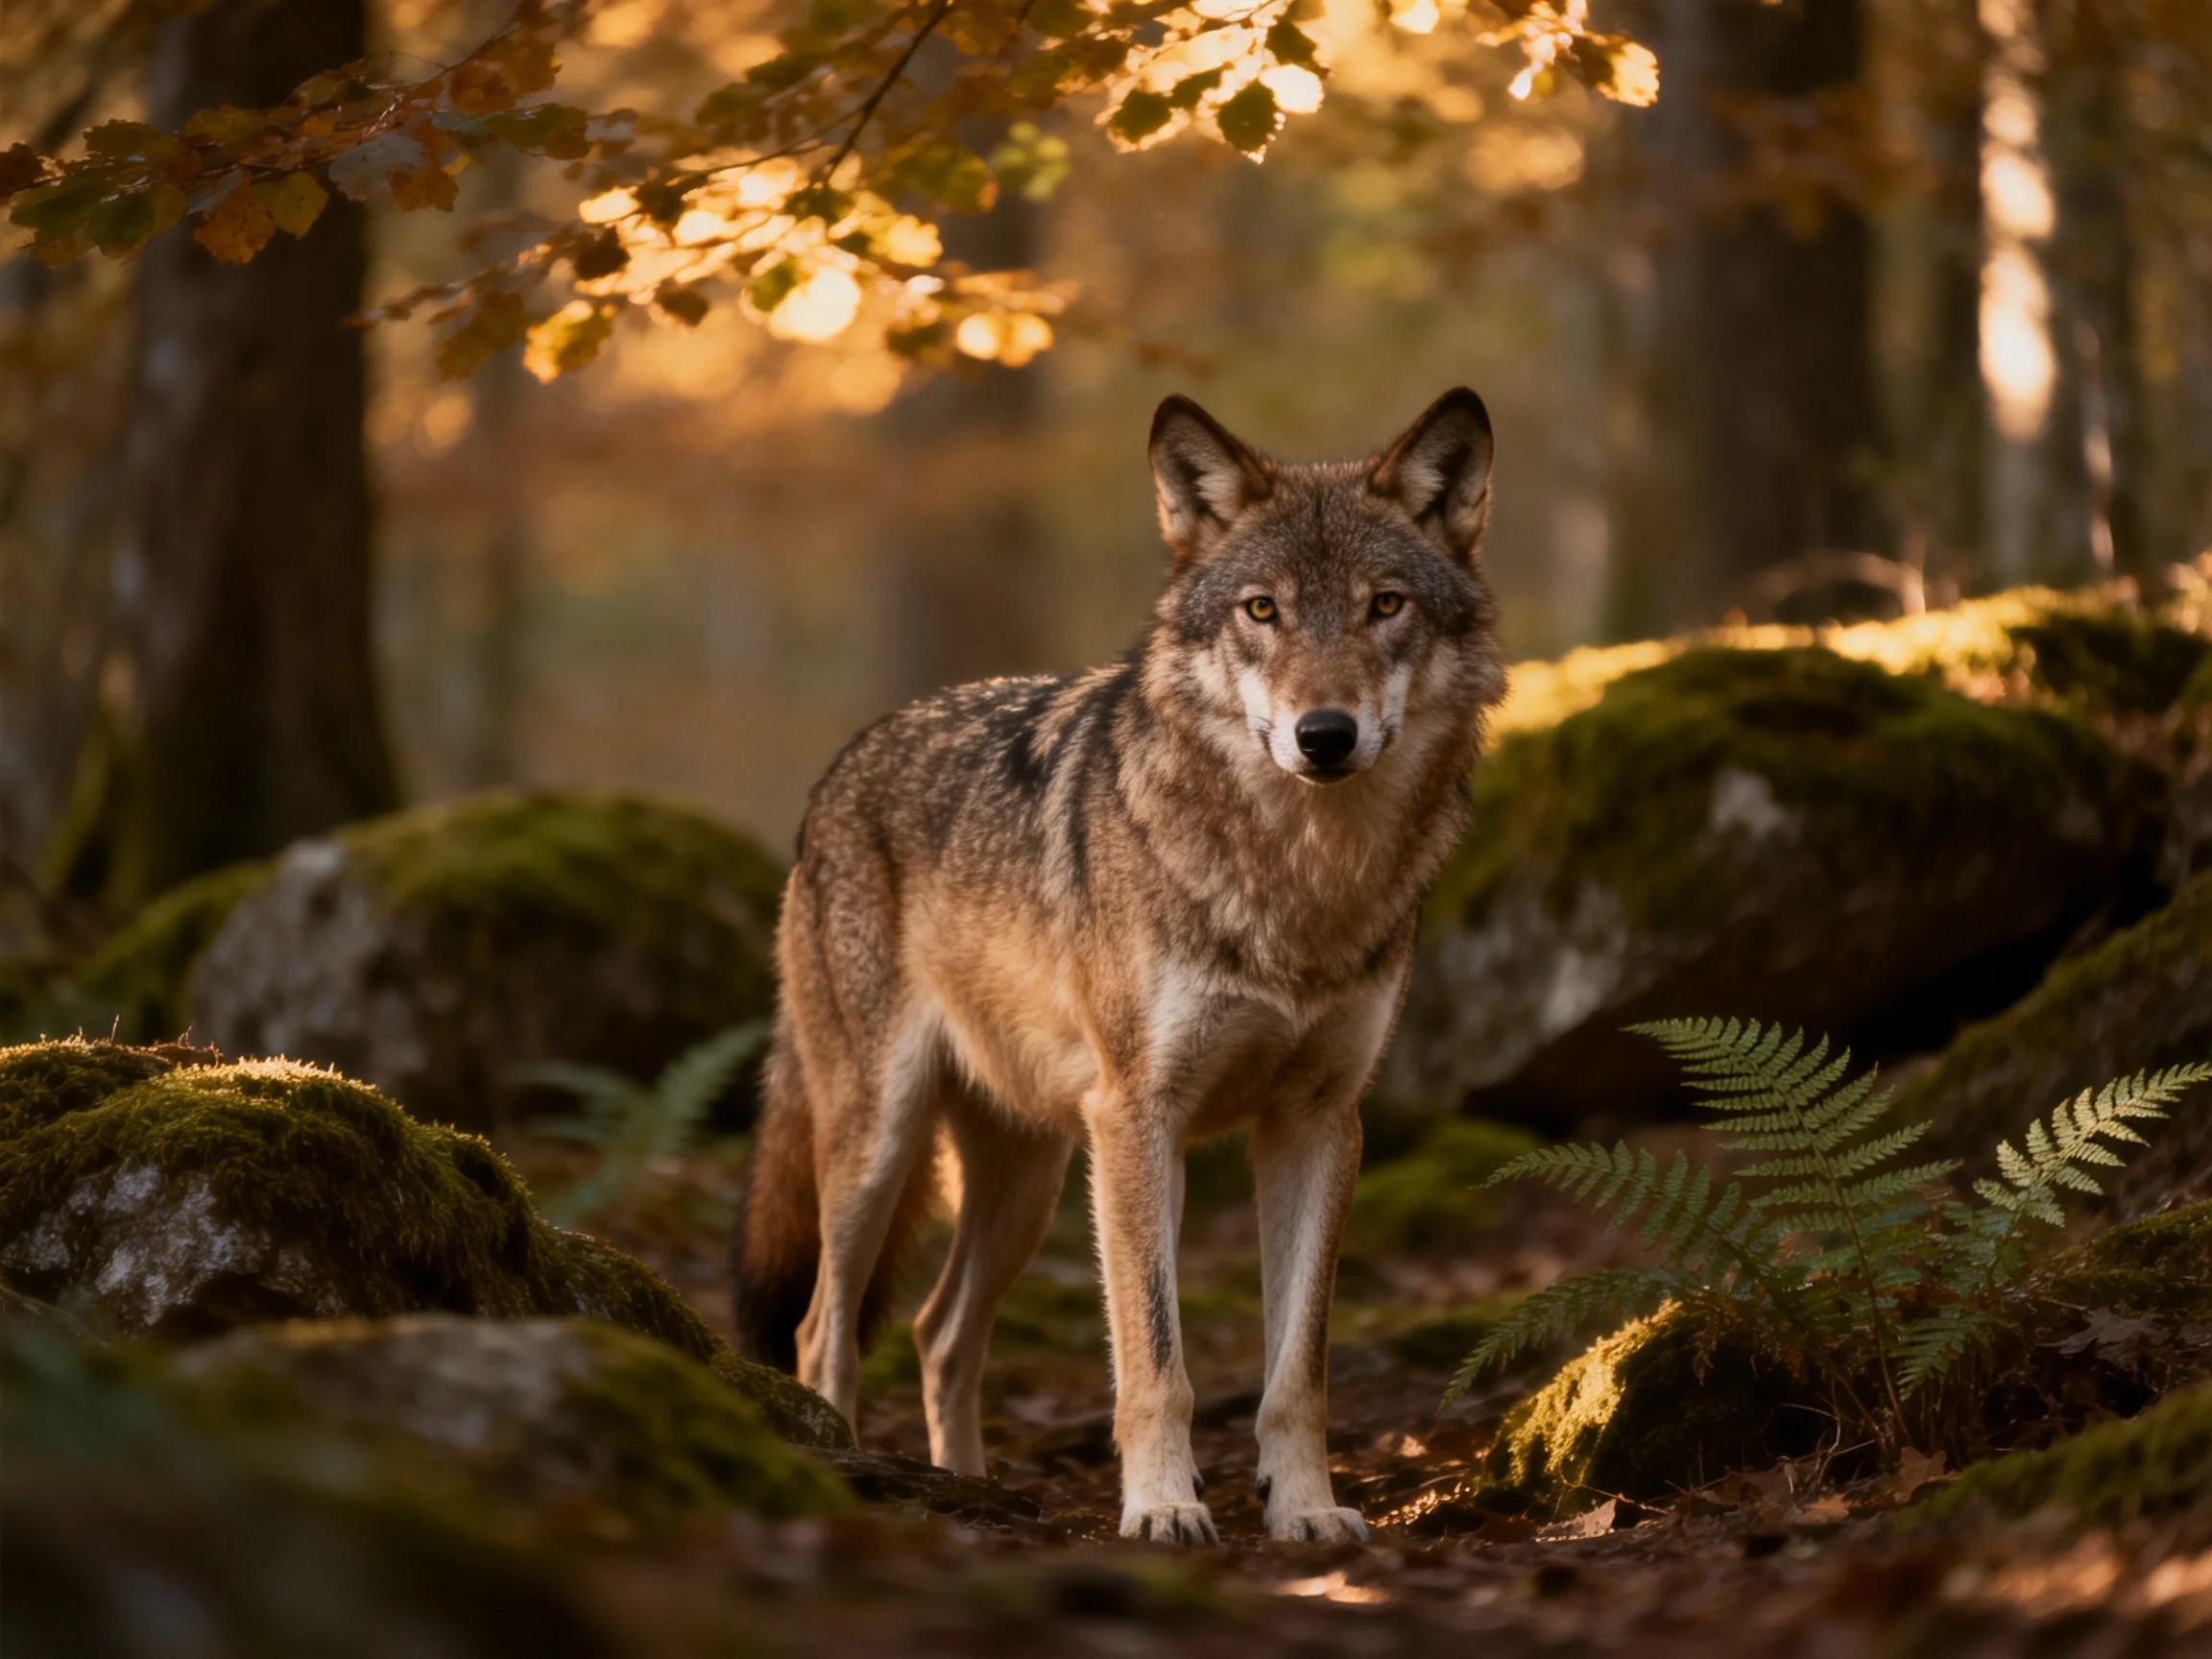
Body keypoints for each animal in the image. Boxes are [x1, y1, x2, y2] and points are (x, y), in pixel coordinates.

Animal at [732, 388, 1504, 1543]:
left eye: (1385, 605)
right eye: (1262, 612)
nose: (1325, 734)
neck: (1297, 881)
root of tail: (843, 765)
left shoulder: (1318, 1120)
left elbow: (1298, 1369)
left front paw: (1307, 1511)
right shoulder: (1142, 1115)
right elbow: (1155, 1357)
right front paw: (1163, 1507)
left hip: (1035, 1176)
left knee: (936, 1330)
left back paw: (970, 1489)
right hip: (888, 1141)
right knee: (823, 1325)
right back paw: (844, 1465)